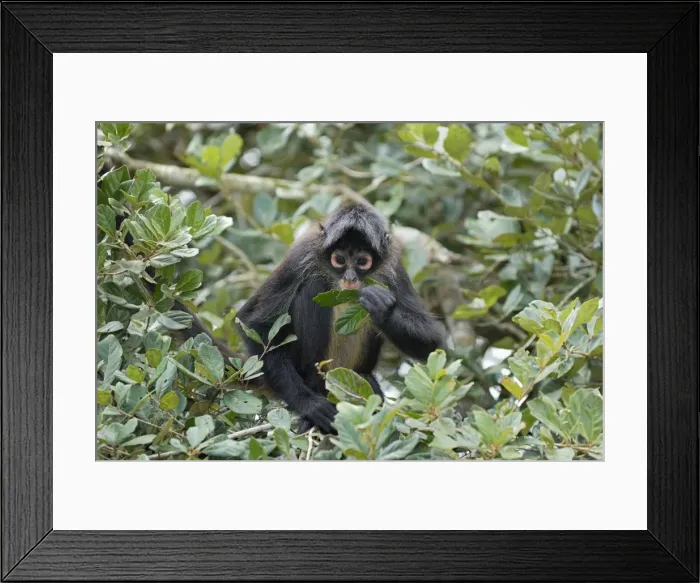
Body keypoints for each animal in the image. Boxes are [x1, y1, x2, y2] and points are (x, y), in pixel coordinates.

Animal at [233, 202, 447, 434]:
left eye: (362, 261)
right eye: (340, 259)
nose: (350, 278)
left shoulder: (394, 266)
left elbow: (431, 342)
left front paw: (383, 309)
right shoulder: (301, 255)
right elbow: (253, 322)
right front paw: (311, 405)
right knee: (314, 285)